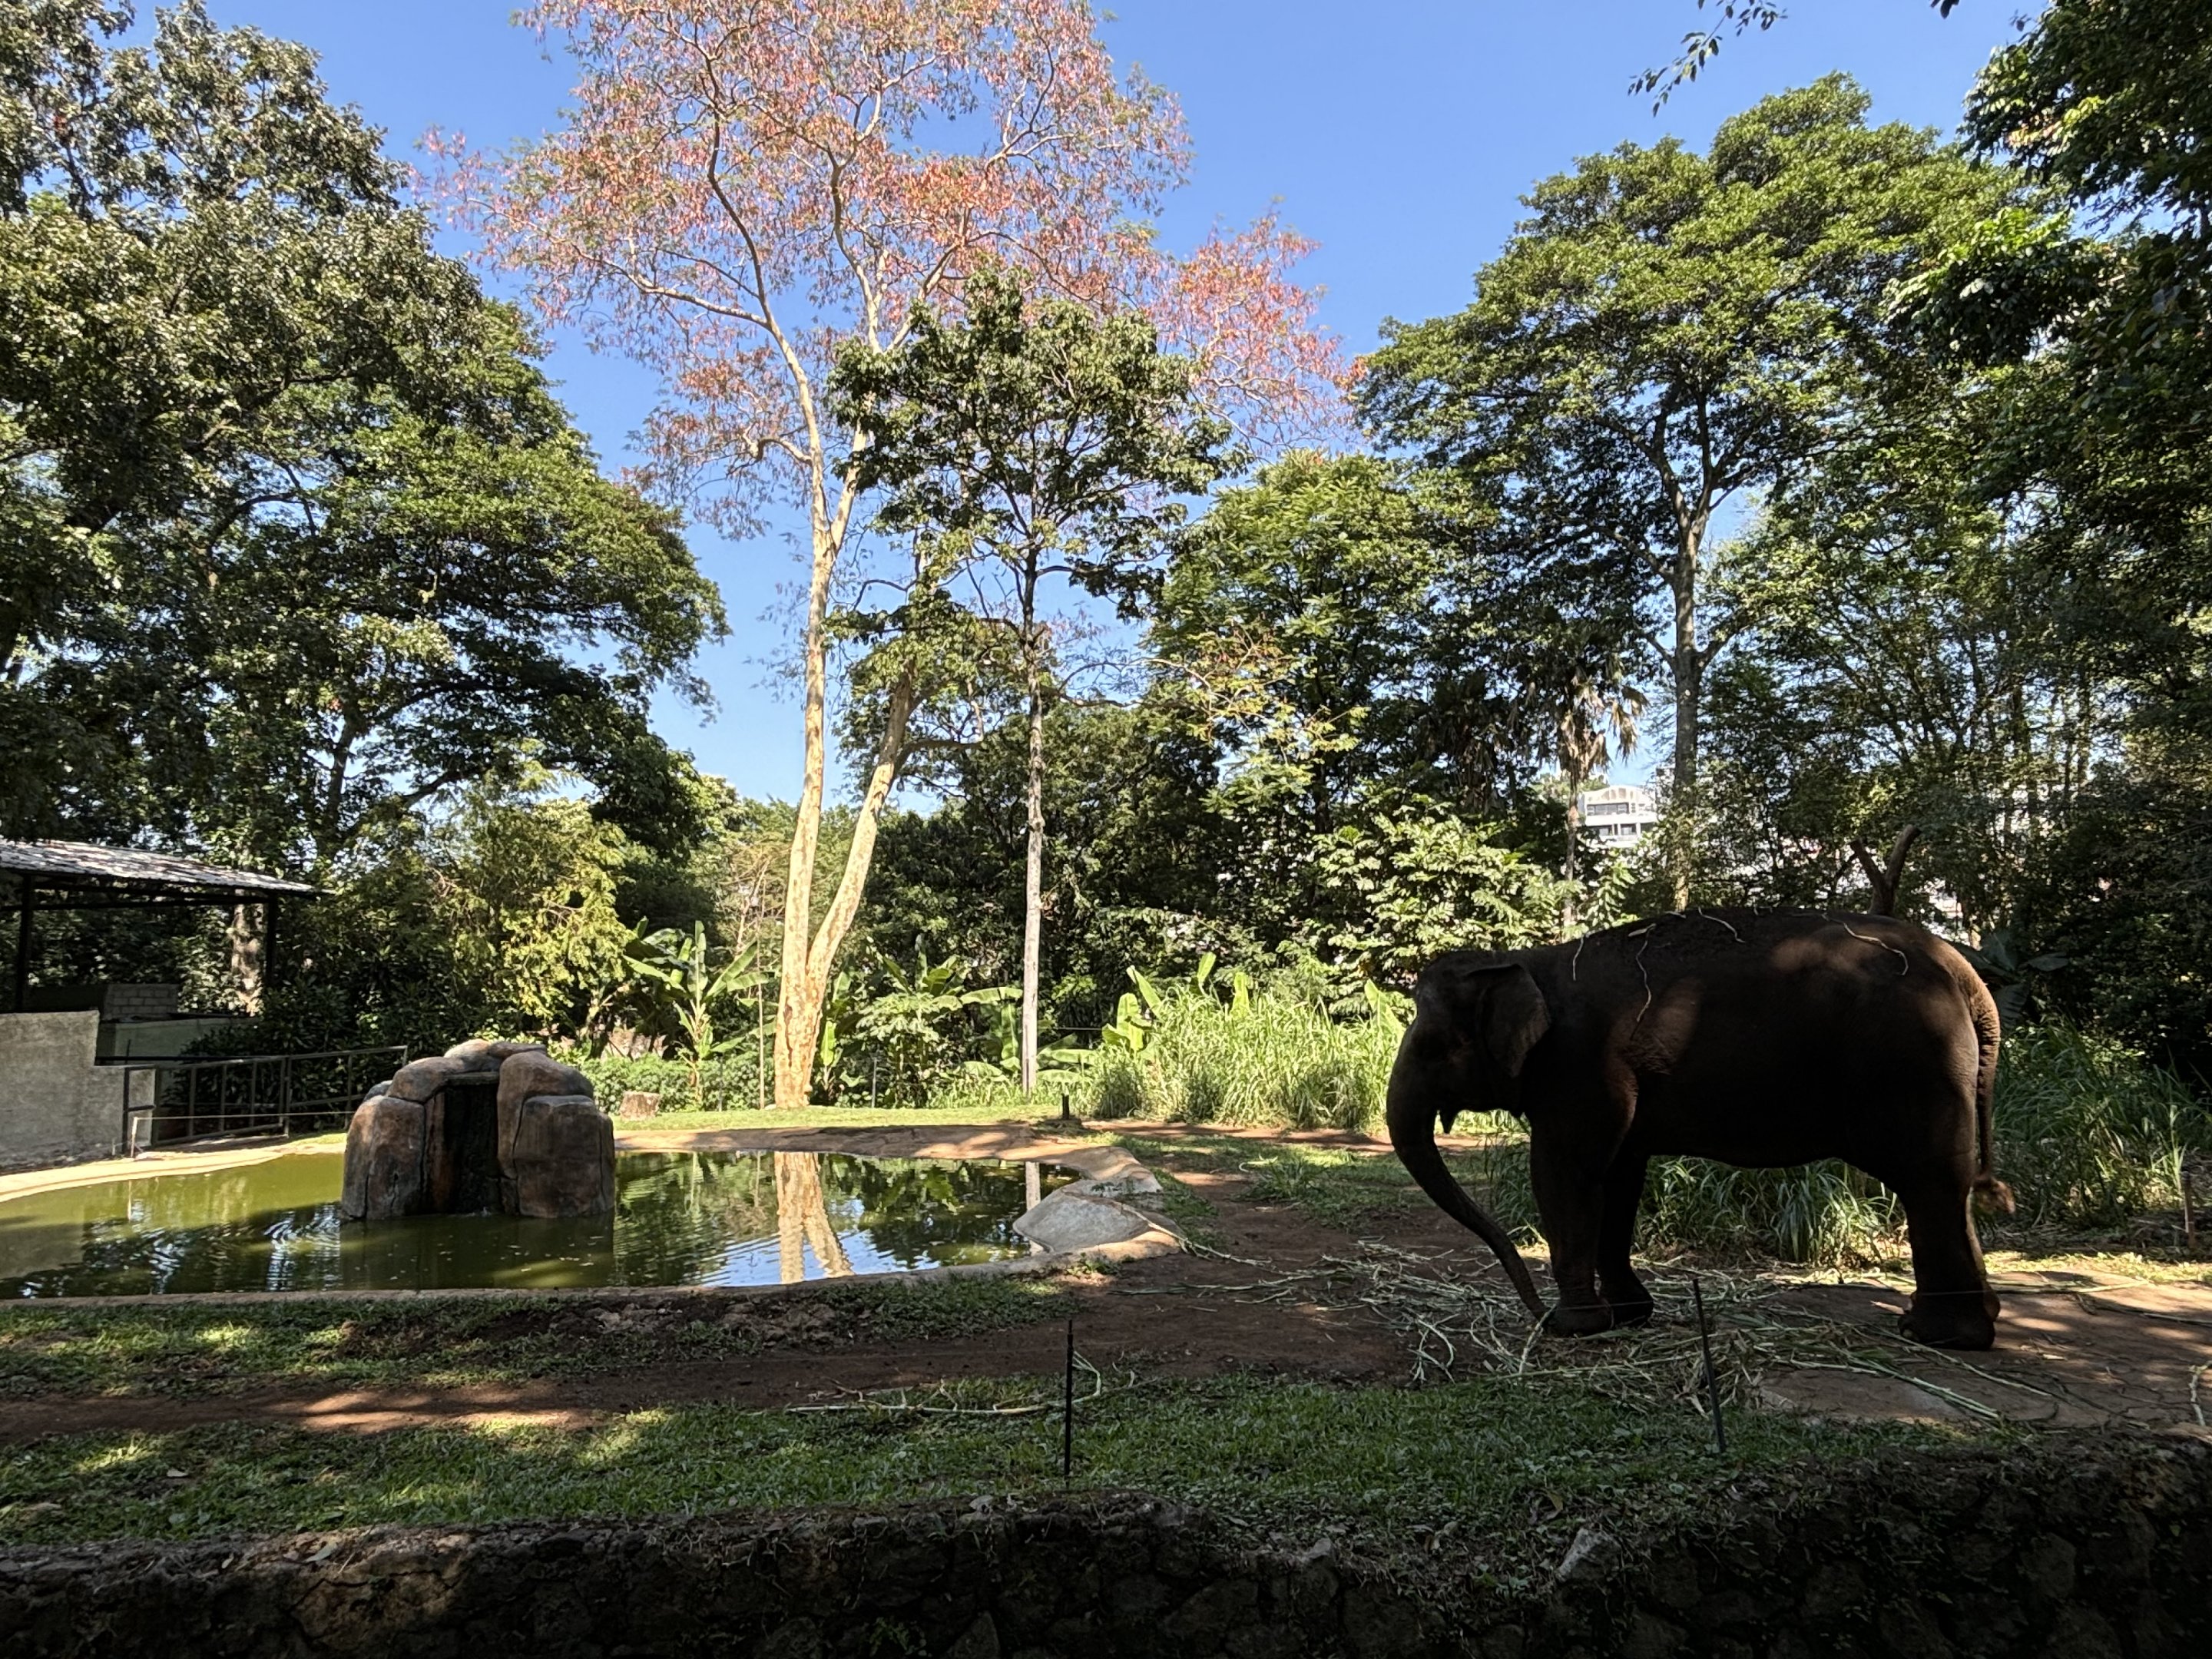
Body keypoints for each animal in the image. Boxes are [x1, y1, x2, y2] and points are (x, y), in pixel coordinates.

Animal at [1386, 907, 2011, 1350]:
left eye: (1433, 1044)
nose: (1536, 1314)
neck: (1526, 960)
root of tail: (1965, 972)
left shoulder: (1580, 1065)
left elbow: (1567, 1172)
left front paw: (1576, 1327)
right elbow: (1620, 1179)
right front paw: (1629, 1318)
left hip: (1914, 1062)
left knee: (1929, 1181)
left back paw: (1938, 1335)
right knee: (1950, 1187)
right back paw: (1954, 1324)